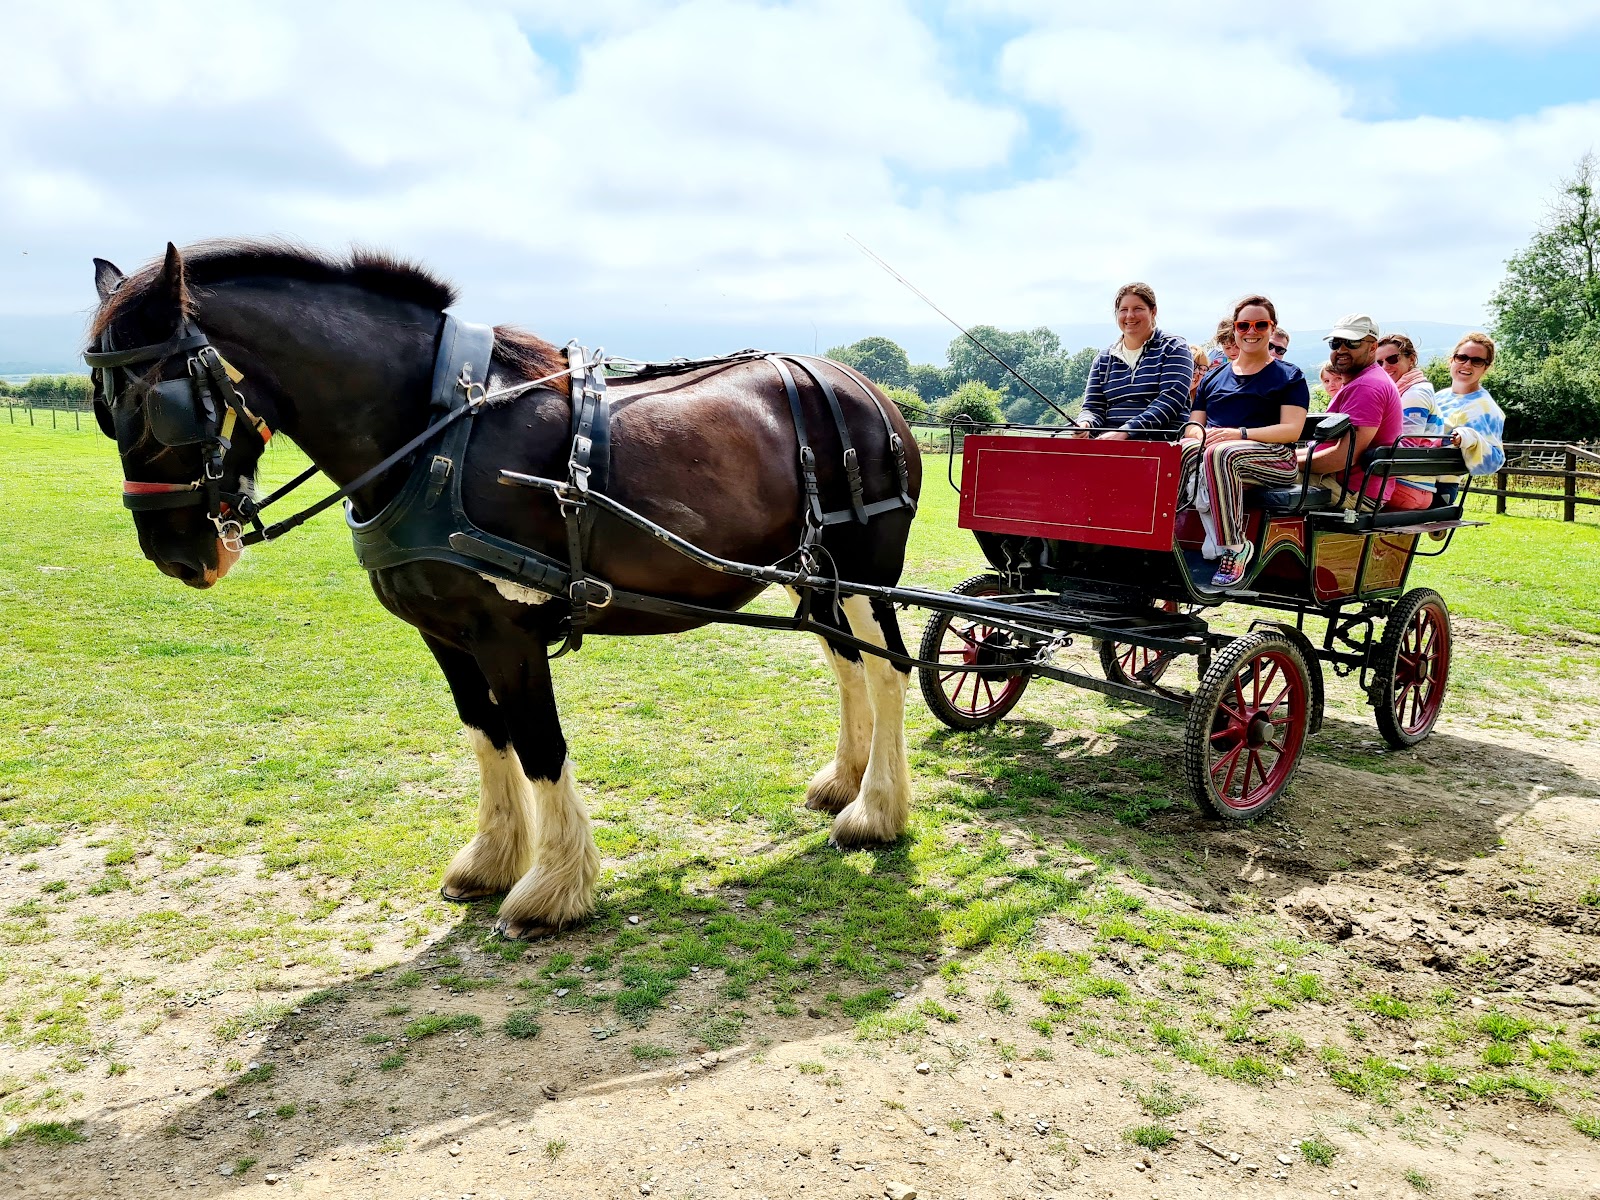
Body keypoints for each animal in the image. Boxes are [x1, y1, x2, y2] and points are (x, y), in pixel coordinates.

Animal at [86, 241, 923, 939]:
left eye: (158, 403)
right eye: (100, 403)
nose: (175, 551)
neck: (435, 435)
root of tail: (866, 388)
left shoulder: (506, 630)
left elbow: (539, 743)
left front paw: (552, 890)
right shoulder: (443, 632)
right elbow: (488, 735)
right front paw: (491, 859)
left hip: (867, 570)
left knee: (886, 670)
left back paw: (875, 811)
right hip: (814, 576)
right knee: (845, 663)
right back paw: (845, 783)